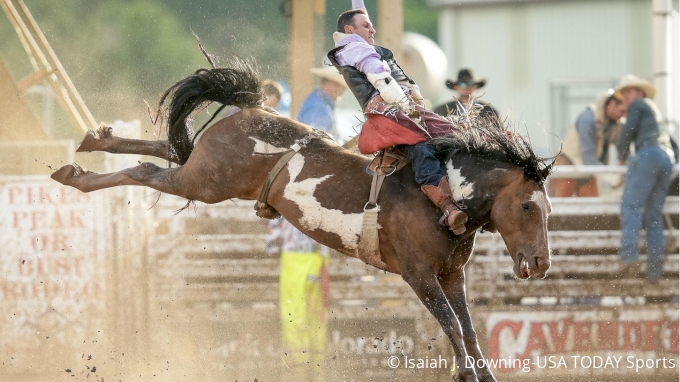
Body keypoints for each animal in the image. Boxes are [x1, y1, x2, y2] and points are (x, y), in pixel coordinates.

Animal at [51, 57, 552, 382]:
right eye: (528, 206)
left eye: (547, 209)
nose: (542, 264)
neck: (444, 195)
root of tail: (252, 110)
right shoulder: (420, 276)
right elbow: (452, 328)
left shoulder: (451, 275)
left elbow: (468, 331)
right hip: (205, 183)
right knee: (148, 170)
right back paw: (75, 175)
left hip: (205, 170)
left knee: (172, 147)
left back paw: (95, 140)